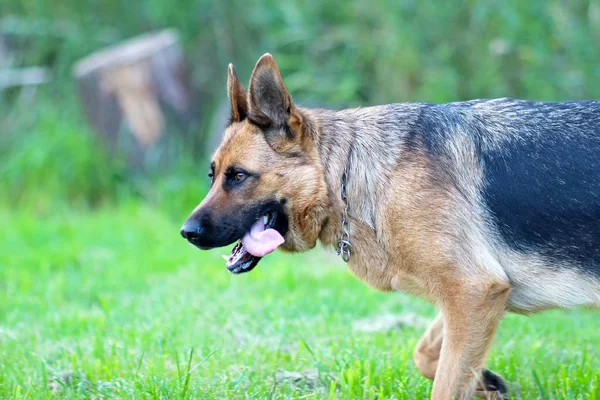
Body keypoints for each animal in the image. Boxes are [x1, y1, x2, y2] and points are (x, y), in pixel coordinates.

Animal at [179, 54, 600, 400]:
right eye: (212, 175)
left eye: (238, 177)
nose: (187, 234)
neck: (348, 174)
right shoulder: (478, 296)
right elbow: (427, 354)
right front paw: (485, 381)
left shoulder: (473, 291)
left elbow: (444, 382)